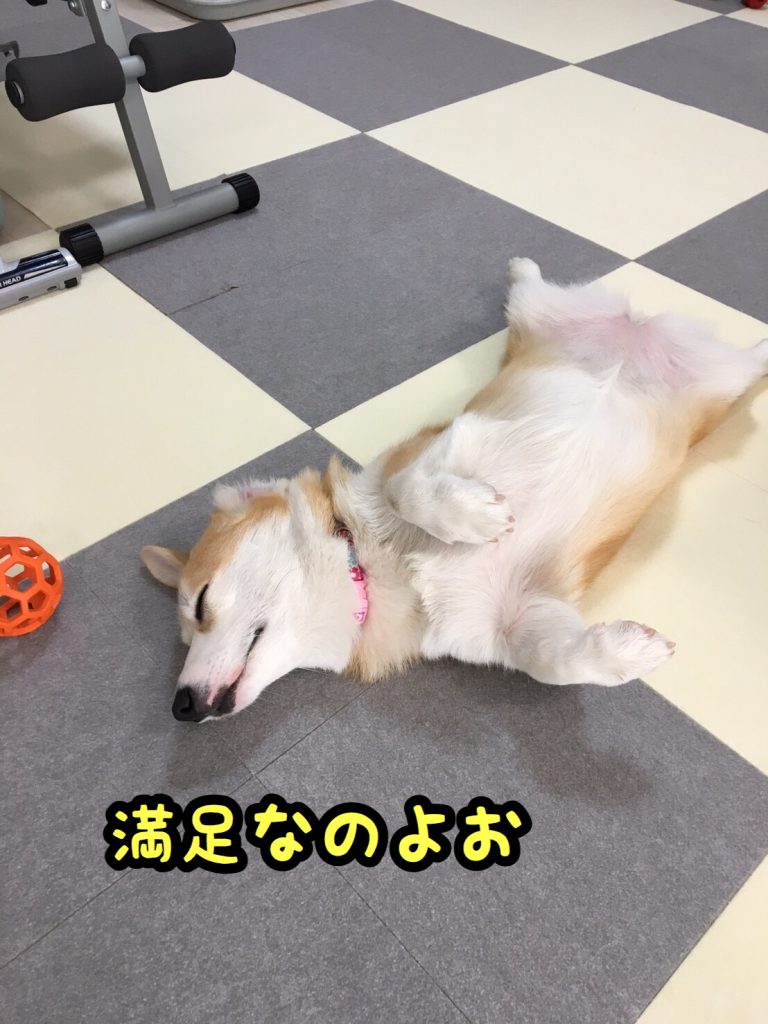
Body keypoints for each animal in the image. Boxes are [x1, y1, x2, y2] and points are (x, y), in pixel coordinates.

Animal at [142, 258, 768, 722]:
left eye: (200, 604)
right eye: (185, 637)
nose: (181, 707)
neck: (381, 568)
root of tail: (634, 327)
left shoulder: (452, 440)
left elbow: (408, 488)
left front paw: (478, 517)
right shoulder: (514, 617)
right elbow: (554, 660)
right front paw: (628, 651)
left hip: (693, 369)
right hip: (663, 355)